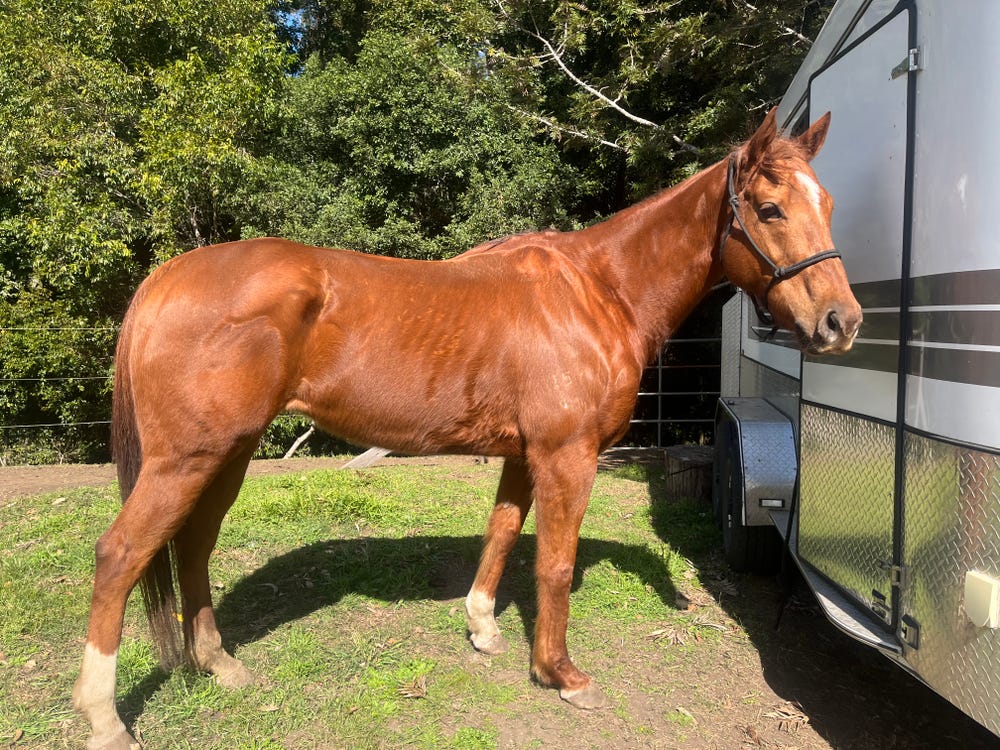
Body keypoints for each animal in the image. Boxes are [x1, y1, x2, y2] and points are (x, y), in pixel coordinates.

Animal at [74, 108, 861, 749]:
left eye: (826, 204)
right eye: (769, 208)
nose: (842, 323)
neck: (598, 291)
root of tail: (164, 280)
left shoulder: (524, 454)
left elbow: (503, 532)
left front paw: (482, 627)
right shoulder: (567, 456)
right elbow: (553, 564)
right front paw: (561, 674)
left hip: (225, 456)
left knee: (192, 547)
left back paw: (219, 665)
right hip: (186, 459)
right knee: (120, 555)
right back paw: (105, 719)